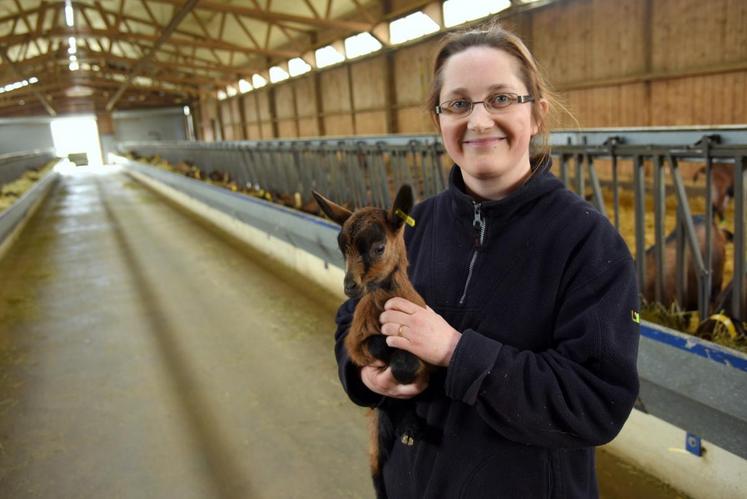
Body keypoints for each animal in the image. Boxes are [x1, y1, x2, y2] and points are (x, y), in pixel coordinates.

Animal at [313, 185, 429, 499]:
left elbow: (408, 364)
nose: (349, 286)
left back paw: (409, 429)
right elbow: (376, 347)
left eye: (379, 248)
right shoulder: (356, 343)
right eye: (343, 250)